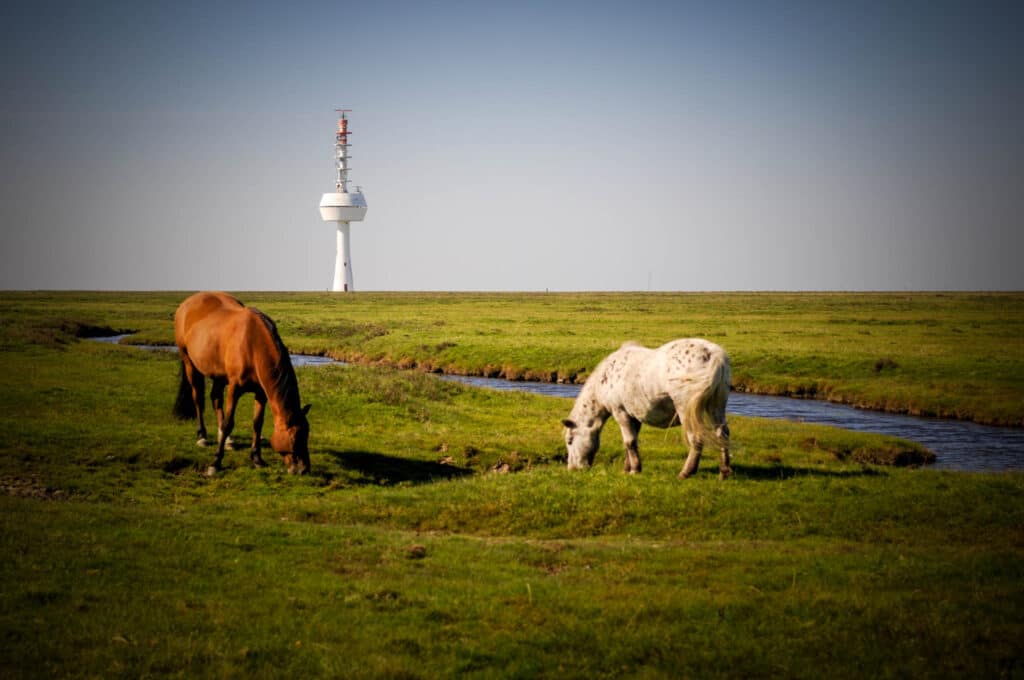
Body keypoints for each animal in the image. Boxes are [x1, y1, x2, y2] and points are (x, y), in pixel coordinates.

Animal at [172, 291, 311, 476]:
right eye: (295, 438)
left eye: (307, 434)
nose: (304, 469)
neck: (253, 345)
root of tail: (186, 303)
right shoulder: (234, 389)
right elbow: (228, 423)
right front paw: (215, 463)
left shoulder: (261, 393)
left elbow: (257, 424)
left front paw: (257, 459)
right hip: (189, 364)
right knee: (198, 399)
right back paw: (202, 436)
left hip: (218, 375)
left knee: (215, 399)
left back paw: (228, 441)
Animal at [562, 339, 731, 479]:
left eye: (570, 440)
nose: (572, 468)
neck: (606, 377)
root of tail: (712, 353)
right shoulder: (634, 417)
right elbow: (631, 443)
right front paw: (627, 468)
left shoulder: (621, 413)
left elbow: (629, 442)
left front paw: (635, 470)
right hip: (717, 408)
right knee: (722, 434)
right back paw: (724, 472)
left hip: (686, 411)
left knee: (695, 439)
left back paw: (685, 472)